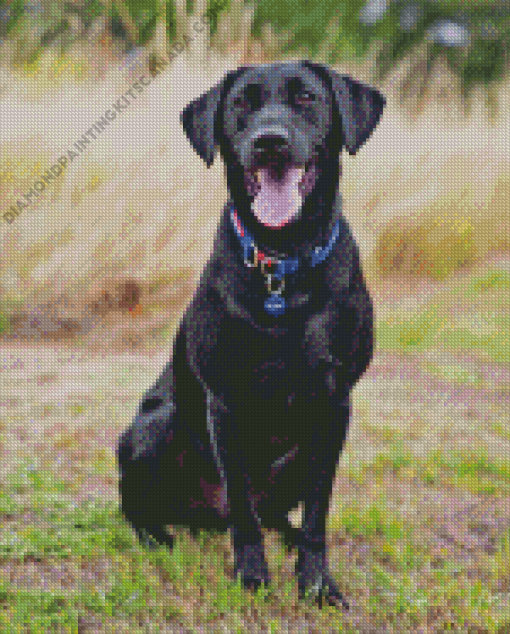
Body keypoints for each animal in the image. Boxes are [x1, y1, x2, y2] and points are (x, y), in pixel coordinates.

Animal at [118, 60, 382, 608]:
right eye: (241, 102)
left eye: (307, 98)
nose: (270, 141)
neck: (283, 263)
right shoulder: (226, 402)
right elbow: (241, 508)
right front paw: (252, 576)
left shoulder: (334, 405)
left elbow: (319, 512)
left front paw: (316, 583)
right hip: (154, 426)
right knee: (145, 507)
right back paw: (158, 537)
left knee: (278, 514)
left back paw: (287, 534)